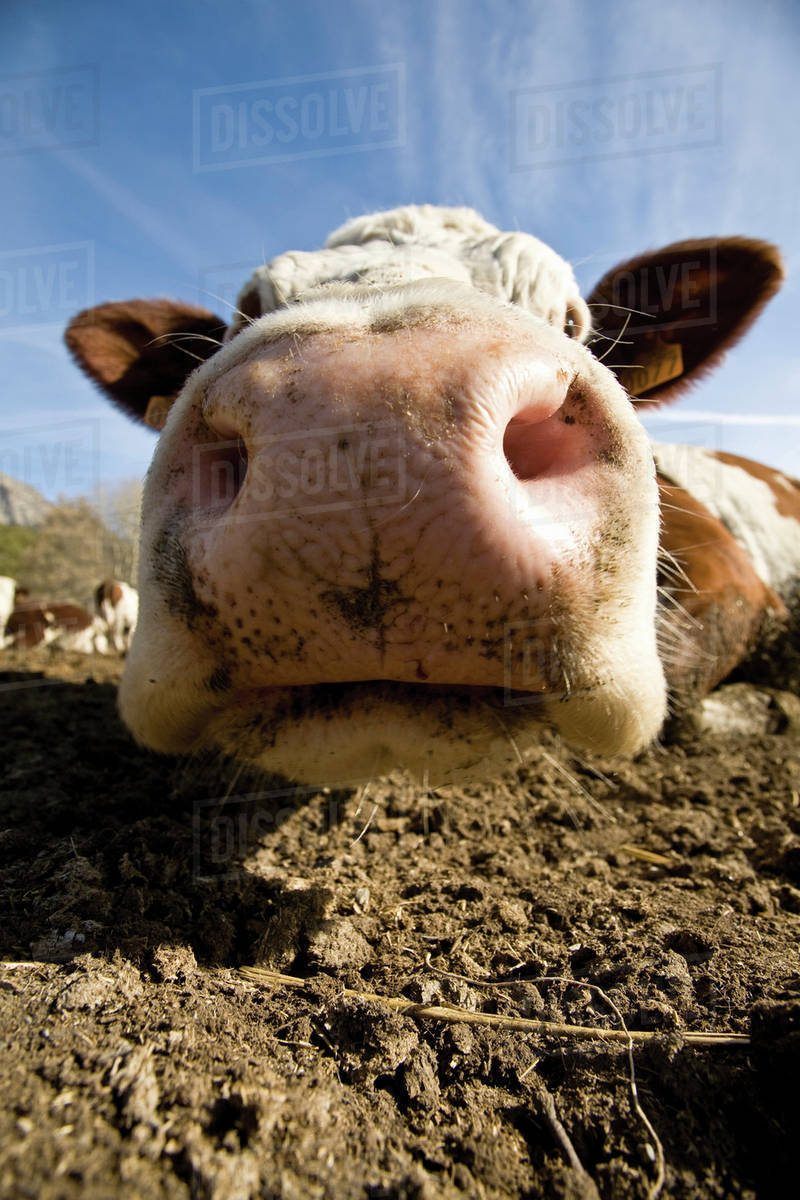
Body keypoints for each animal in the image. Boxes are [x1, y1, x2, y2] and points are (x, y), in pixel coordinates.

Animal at [64, 205, 798, 785]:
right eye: (246, 308)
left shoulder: (738, 580)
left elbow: (688, 704)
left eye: (571, 320)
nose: (377, 414)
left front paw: (775, 704)